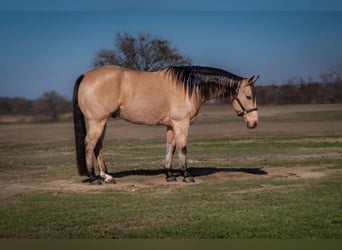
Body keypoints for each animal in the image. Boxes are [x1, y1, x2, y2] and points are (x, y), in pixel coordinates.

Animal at [73, 65, 260, 184]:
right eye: (248, 96)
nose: (254, 122)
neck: (188, 87)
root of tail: (85, 75)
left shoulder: (171, 126)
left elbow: (170, 147)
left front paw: (169, 175)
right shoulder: (182, 124)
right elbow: (183, 147)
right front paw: (186, 175)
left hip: (102, 122)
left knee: (98, 147)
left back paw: (107, 177)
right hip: (97, 122)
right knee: (89, 145)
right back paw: (94, 178)